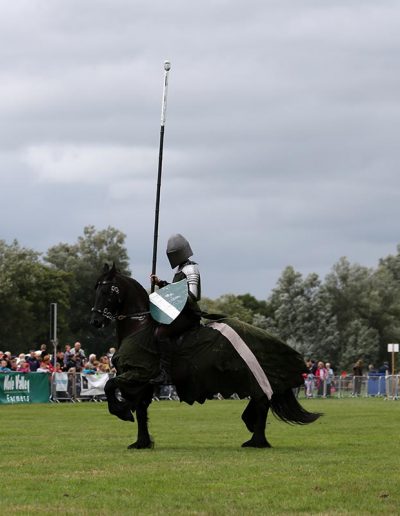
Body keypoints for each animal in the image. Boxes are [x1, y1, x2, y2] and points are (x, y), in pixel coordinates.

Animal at [90, 264, 318, 450]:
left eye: (106, 290)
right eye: (96, 289)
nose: (95, 321)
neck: (139, 325)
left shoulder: (138, 373)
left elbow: (110, 387)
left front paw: (121, 411)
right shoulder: (141, 381)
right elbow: (140, 409)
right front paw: (141, 442)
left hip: (252, 377)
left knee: (262, 403)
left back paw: (257, 441)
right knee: (260, 401)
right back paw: (253, 432)